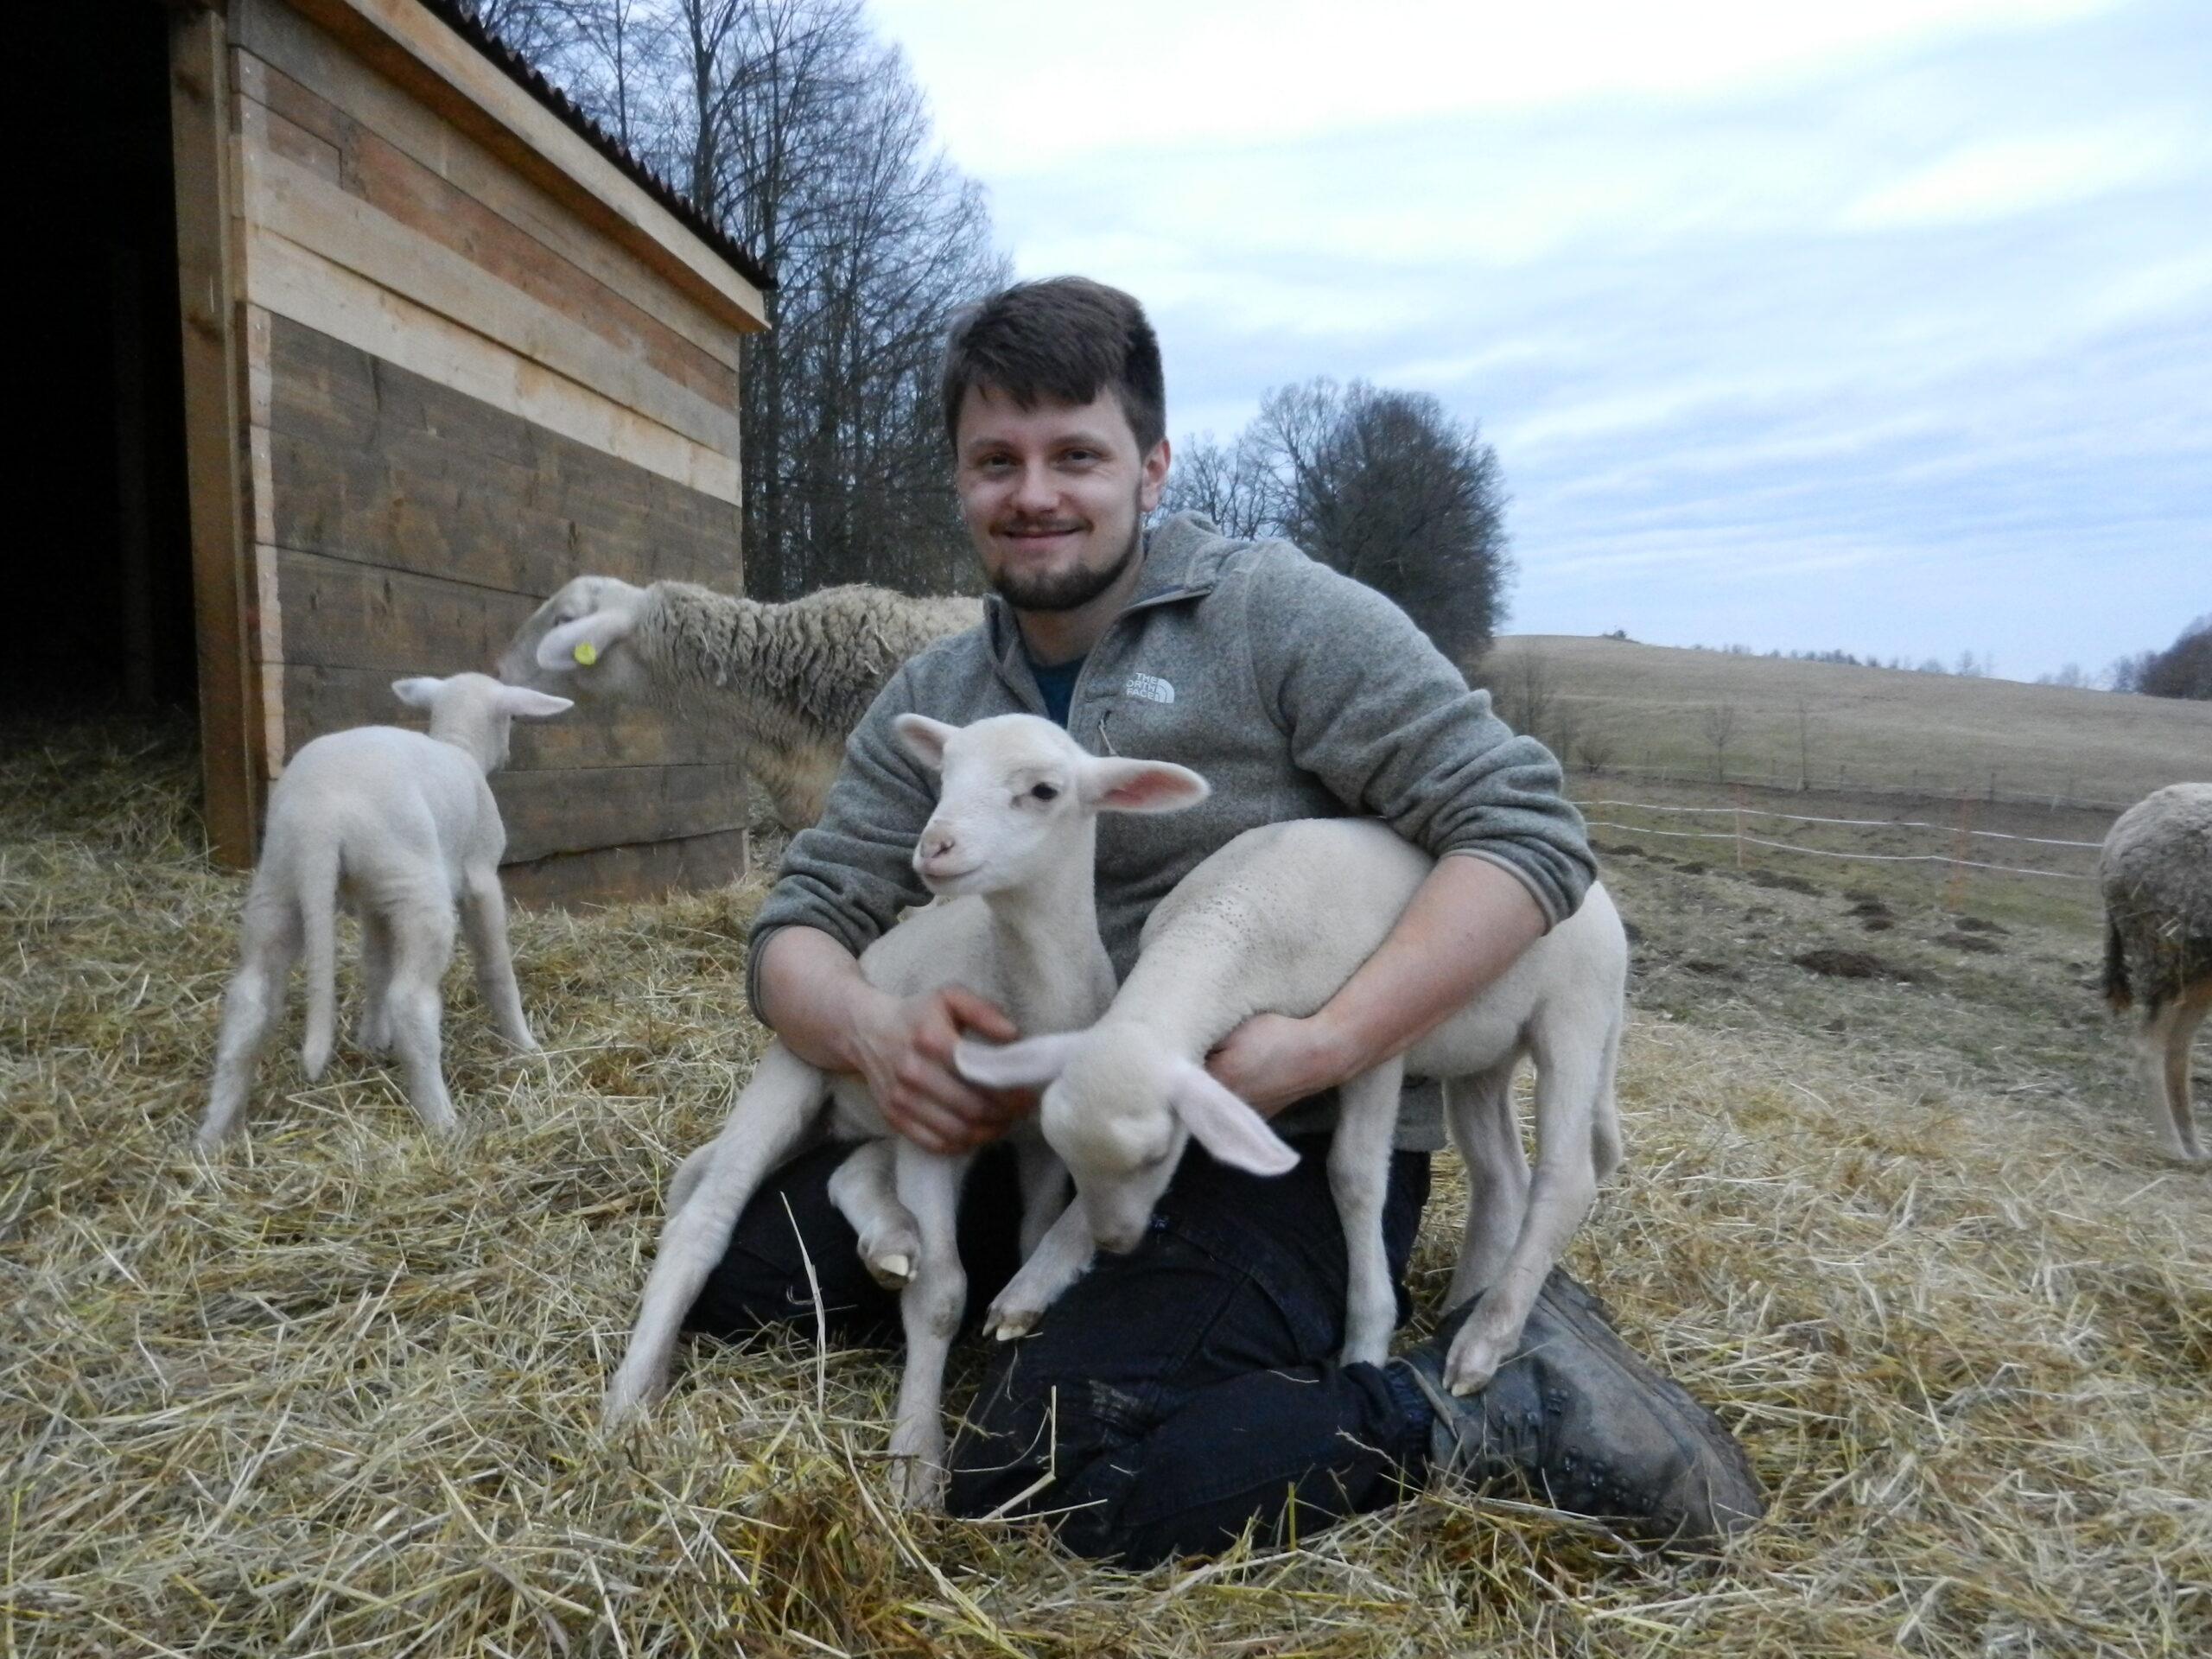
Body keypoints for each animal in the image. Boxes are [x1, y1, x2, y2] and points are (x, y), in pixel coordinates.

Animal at [198, 674, 572, 1147]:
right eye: (512, 719)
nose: (507, 757)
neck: (460, 745)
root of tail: (319, 816)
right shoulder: (481, 875)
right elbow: (495, 967)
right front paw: (523, 1043)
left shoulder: (374, 900)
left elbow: (375, 966)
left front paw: (372, 1040)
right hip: (416, 886)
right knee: (411, 1002)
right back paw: (442, 1120)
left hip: (280, 884)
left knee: (250, 999)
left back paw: (212, 1133)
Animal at [603, 713, 1208, 1507]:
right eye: (944, 776)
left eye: (1044, 791)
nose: (935, 845)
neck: (1023, 995)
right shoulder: (932, 1123)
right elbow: (942, 1297)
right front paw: (917, 1461)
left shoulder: (1038, 1141)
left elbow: (1031, 1240)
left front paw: (1013, 1318)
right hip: (798, 1070)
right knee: (701, 1226)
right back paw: (630, 1398)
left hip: (878, 1118)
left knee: (848, 1173)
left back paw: (889, 1242)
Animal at [957, 817, 1627, 1397]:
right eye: (1067, 1157)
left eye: (1155, 1156)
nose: (1116, 1244)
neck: (1224, 926)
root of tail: (1601, 897)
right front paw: (1035, 1282)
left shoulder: (1372, 1041)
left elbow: (1355, 1176)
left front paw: (1367, 1338)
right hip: (1484, 1056)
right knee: (1502, 1177)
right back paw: (1466, 1305)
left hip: (1575, 1014)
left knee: (1565, 1180)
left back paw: (1483, 1343)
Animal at [2099, 781, 2212, 1163]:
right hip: (2164, 950)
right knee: (2150, 1047)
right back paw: (2174, 1147)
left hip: (2196, 972)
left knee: (2177, 1051)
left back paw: (2193, 1147)